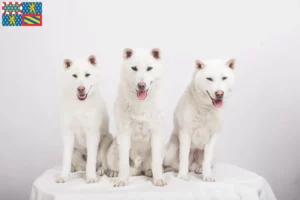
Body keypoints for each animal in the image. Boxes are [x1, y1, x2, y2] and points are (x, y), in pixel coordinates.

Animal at [56, 55, 111, 184]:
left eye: (87, 75)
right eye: (74, 75)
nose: (80, 88)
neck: (80, 105)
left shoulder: (92, 133)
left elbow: (91, 161)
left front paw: (91, 177)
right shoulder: (68, 134)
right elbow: (66, 159)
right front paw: (63, 176)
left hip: (106, 141)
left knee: (100, 163)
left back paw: (101, 170)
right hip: (75, 152)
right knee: (79, 166)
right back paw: (74, 169)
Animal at [113, 47, 168, 187]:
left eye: (149, 68)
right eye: (134, 68)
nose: (141, 85)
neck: (141, 103)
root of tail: (139, 168)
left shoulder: (156, 133)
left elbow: (156, 162)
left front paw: (158, 178)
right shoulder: (124, 133)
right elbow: (123, 164)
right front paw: (121, 180)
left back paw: (150, 172)